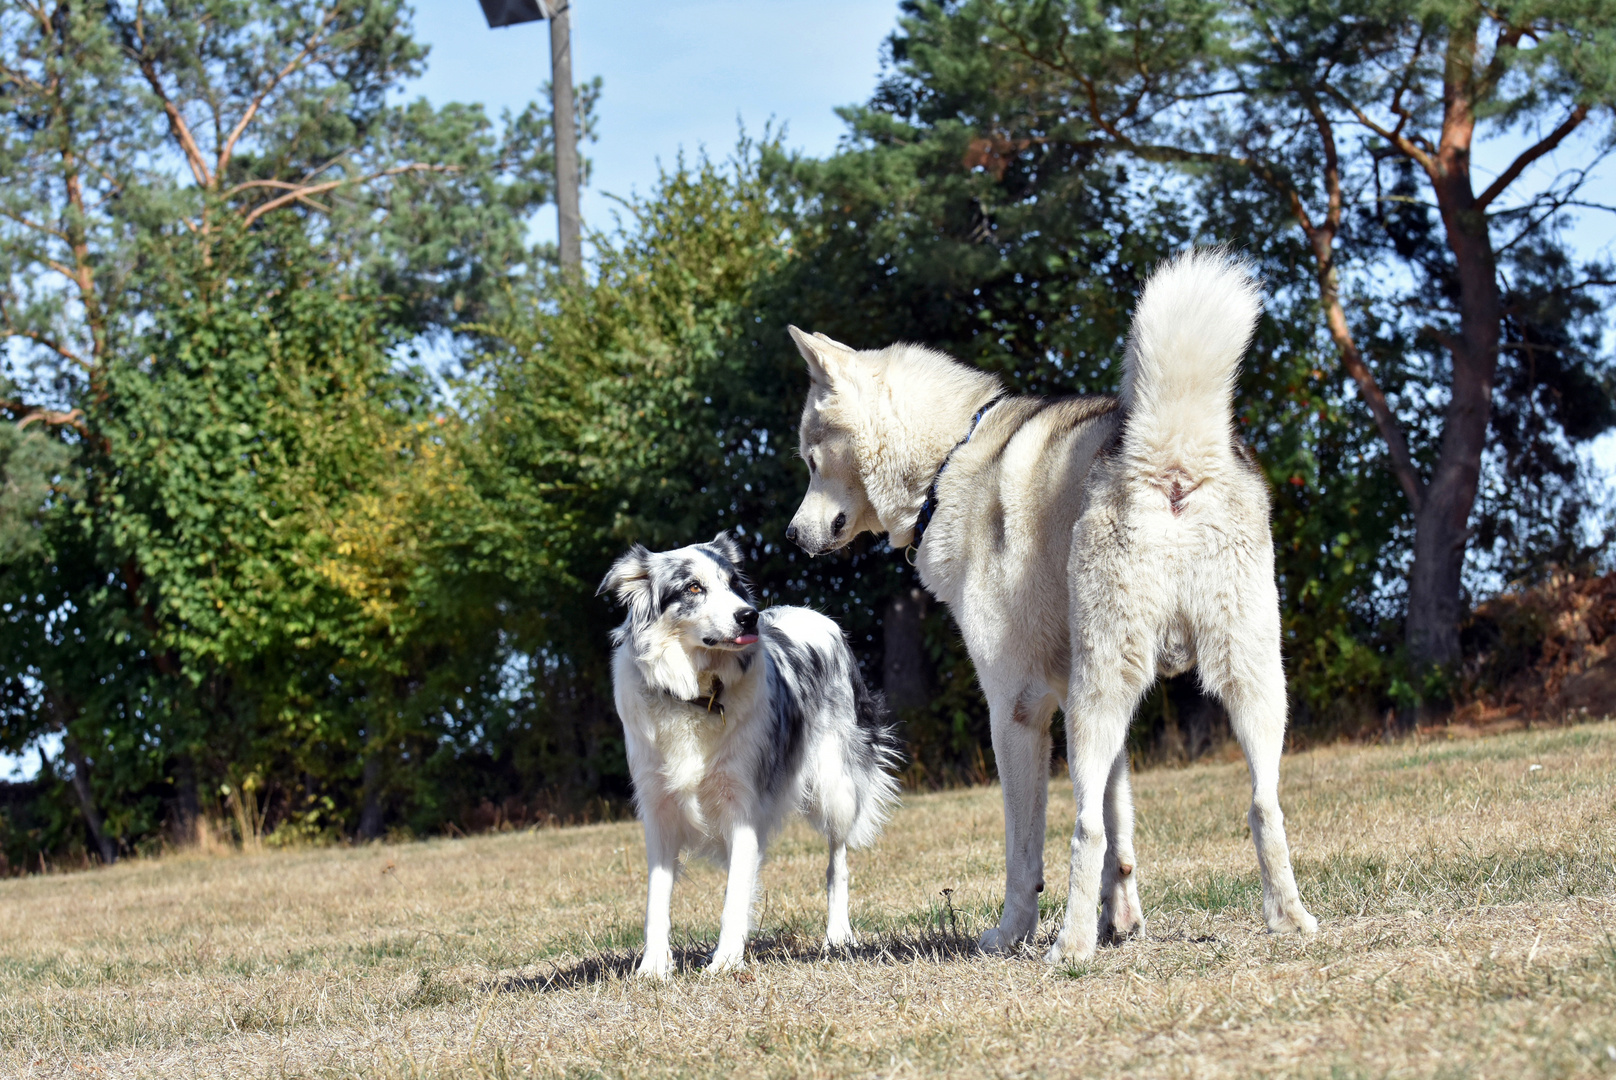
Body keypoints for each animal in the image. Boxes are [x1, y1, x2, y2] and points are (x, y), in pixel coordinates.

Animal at [601, 533, 904, 976]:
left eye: (733, 584)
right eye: (693, 587)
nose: (750, 617)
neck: (697, 695)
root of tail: (817, 616)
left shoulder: (743, 804)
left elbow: (735, 894)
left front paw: (726, 961)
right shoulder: (658, 808)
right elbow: (657, 898)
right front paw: (654, 967)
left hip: (836, 787)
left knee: (838, 862)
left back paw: (837, 936)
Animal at [782, 250, 1312, 963]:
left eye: (811, 461)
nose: (790, 536)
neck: (951, 459)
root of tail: (1172, 452)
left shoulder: (1019, 710)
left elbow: (1026, 849)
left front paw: (1015, 933)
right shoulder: (1106, 721)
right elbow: (1122, 832)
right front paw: (1124, 923)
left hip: (1095, 699)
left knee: (1082, 827)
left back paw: (1071, 947)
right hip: (1245, 683)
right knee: (1263, 805)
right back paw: (1289, 920)